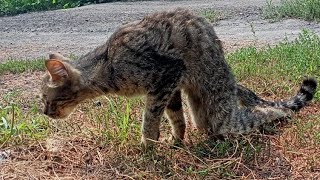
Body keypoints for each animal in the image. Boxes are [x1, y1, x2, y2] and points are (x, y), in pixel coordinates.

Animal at [42, 8, 318, 146]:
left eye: (46, 99)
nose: (44, 113)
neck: (106, 65)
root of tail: (231, 80)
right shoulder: (171, 87)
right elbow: (176, 117)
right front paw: (176, 140)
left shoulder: (166, 75)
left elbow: (150, 119)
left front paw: (147, 146)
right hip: (201, 110)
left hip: (220, 113)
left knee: (260, 112)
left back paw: (281, 114)